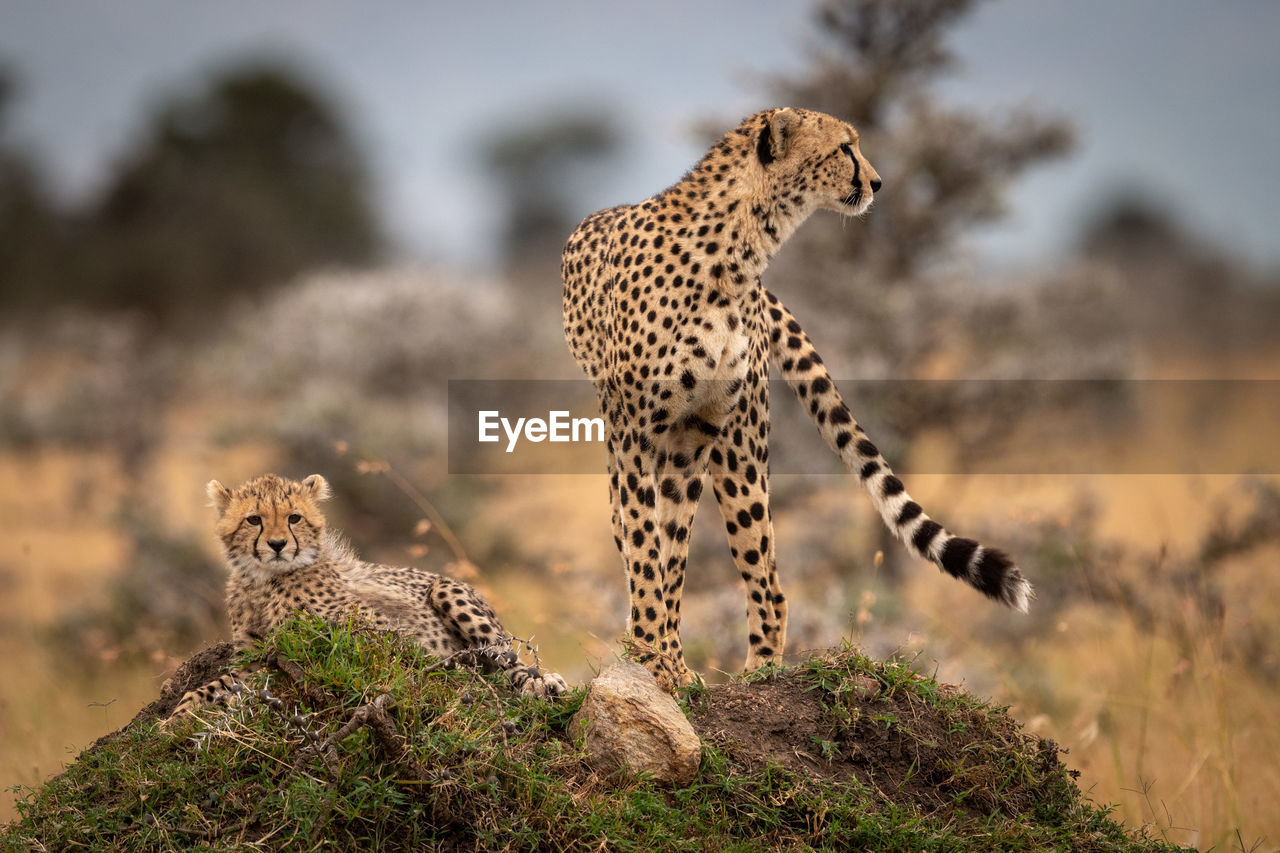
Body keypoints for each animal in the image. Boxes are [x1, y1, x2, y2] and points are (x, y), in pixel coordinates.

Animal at [170, 471, 565, 717]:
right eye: (254, 520)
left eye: (294, 518)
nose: (278, 544)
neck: (264, 581)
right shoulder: (254, 656)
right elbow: (215, 683)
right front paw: (177, 715)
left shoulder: (371, 637)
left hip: (447, 591)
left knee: (509, 660)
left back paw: (541, 684)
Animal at [560, 108, 1029, 691]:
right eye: (845, 147)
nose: (877, 182)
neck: (736, 258)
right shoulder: (637, 434)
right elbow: (648, 552)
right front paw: (651, 660)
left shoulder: (699, 432)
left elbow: (667, 555)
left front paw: (662, 662)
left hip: (739, 445)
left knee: (765, 578)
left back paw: (758, 673)